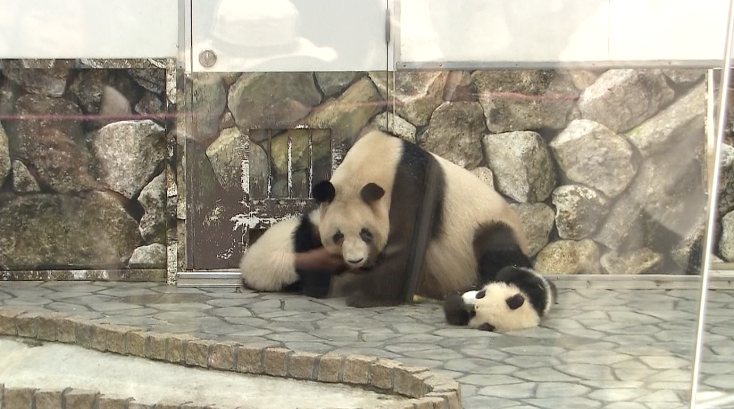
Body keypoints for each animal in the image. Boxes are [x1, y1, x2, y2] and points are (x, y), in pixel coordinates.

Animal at [312, 128, 532, 307]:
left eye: (366, 233)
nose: (355, 260)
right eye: (338, 236)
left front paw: (370, 298)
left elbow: (404, 246)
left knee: (497, 245)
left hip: (489, 229)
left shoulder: (413, 188)